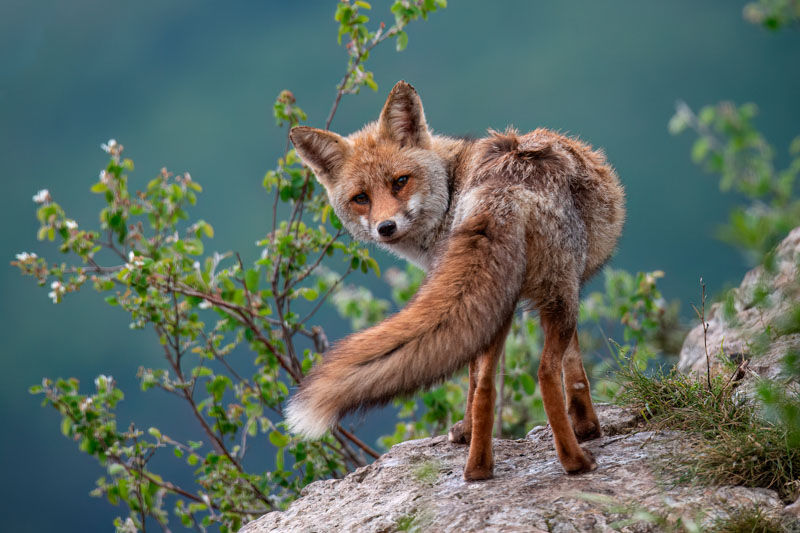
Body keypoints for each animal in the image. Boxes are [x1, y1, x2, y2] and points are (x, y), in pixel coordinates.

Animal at [286, 81, 625, 481]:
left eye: (400, 181)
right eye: (361, 198)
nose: (386, 227)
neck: (452, 186)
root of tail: (505, 188)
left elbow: (484, 376)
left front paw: (465, 433)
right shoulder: (569, 287)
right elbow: (574, 370)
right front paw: (588, 427)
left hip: (502, 303)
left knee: (485, 385)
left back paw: (477, 468)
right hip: (545, 295)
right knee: (543, 372)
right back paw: (574, 461)